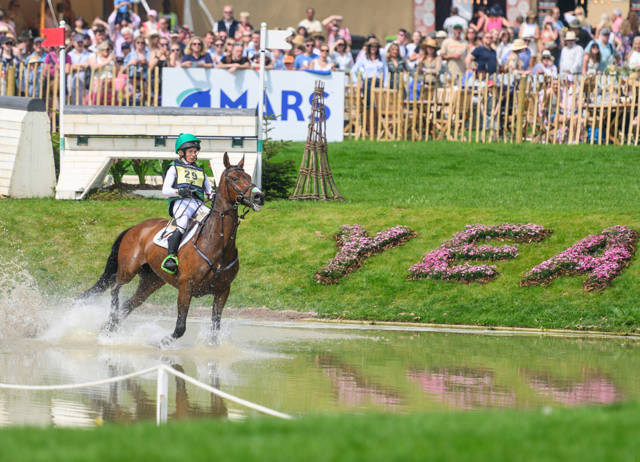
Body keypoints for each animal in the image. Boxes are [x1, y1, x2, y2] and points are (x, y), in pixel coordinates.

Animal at [81, 153, 264, 344]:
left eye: (249, 177)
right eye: (235, 178)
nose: (259, 197)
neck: (218, 244)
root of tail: (134, 228)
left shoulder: (222, 291)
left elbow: (214, 331)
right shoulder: (186, 288)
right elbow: (180, 328)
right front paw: (160, 343)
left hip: (151, 281)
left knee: (129, 304)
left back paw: (109, 327)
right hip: (128, 270)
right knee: (115, 287)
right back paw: (112, 316)